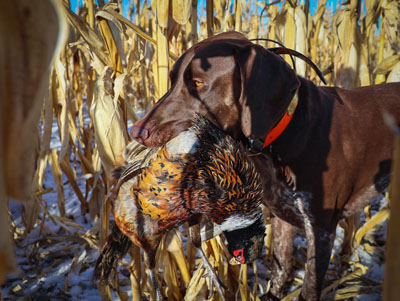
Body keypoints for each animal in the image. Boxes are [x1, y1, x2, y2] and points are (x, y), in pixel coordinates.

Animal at [130, 31, 400, 298]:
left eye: (197, 83)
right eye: (172, 80)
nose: (136, 132)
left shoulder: (321, 231)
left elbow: (309, 287)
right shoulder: (283, 217)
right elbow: (280, 269)